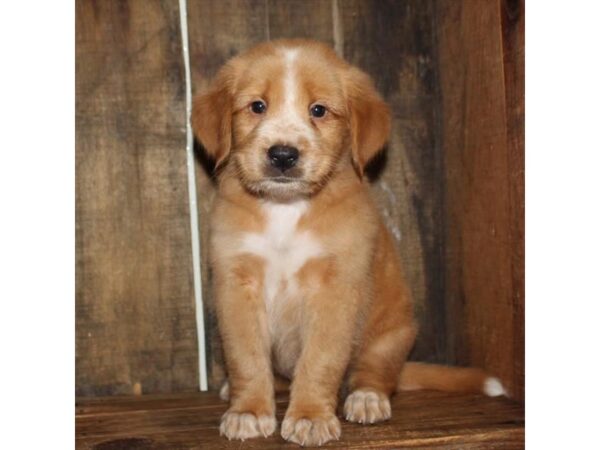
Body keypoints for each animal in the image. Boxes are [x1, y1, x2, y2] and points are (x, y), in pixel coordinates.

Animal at [191, 39, 502, 446]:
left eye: (318, 110)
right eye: (257, 106)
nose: (283, 155)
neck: (285, 210)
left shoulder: (336, 290)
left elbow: (320, 360)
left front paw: (309, 416)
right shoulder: (237, 286)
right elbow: (246, 358)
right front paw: (249, 411)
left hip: (392, 335)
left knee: (377, 375)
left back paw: (367, 398)